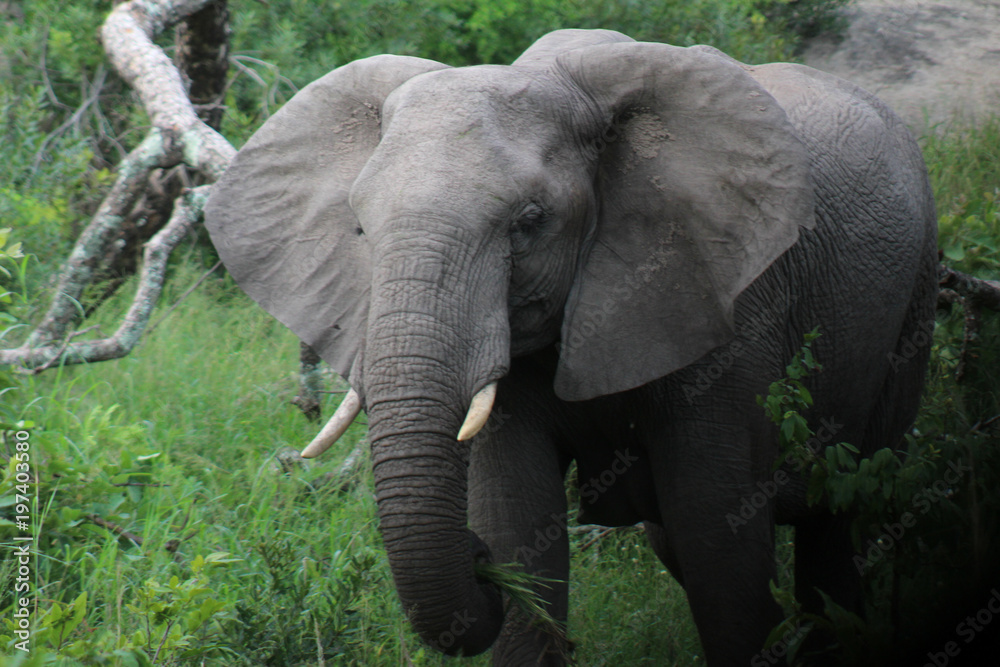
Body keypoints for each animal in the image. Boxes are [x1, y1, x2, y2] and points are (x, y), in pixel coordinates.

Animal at [204, 29, 937, 665]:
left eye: (529, 223)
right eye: (359, 227)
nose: (474, 561)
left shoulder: (729, 304)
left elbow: (719, 548)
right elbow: (519, 523)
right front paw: (508, 562)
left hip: (914, 304)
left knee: (845, 518)